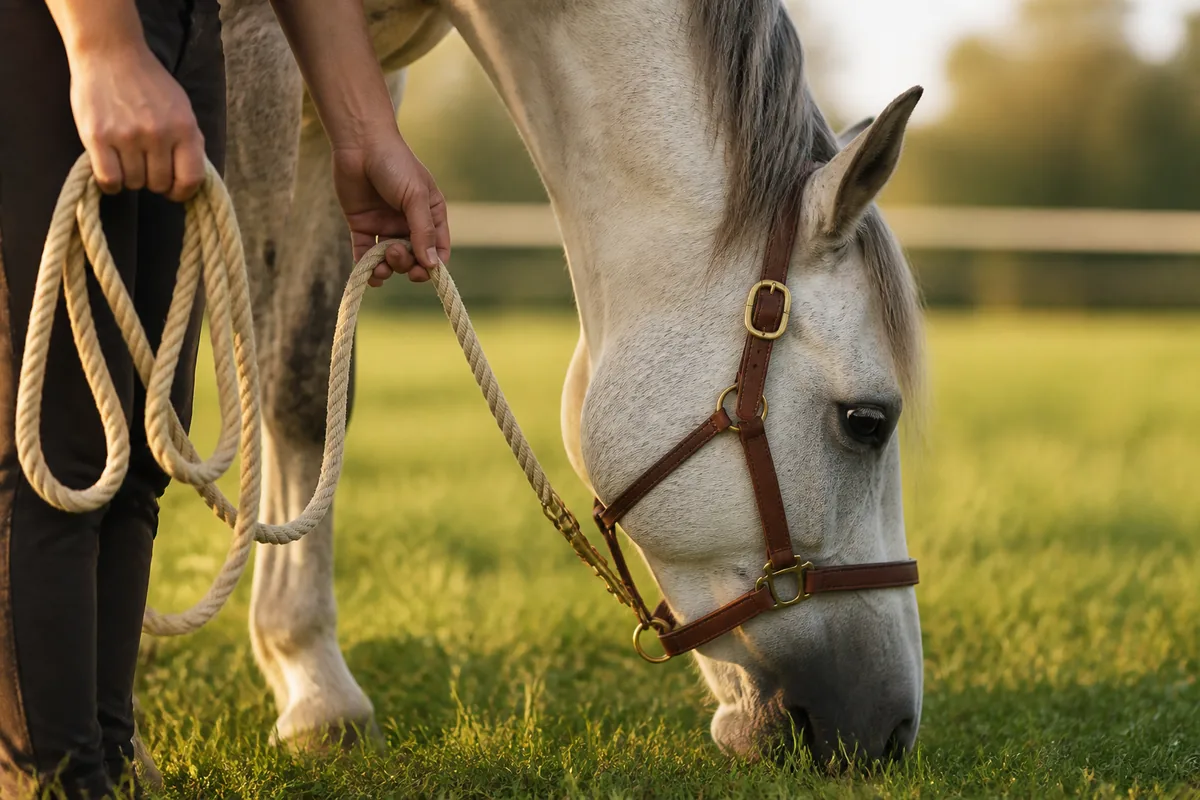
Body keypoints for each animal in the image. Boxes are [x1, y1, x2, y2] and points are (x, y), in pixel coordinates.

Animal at [206, 0, 926, 763]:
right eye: (866, 421)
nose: (892, 733)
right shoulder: (253, 60)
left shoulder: (344, 105)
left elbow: (304, 392)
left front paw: (312, 682)